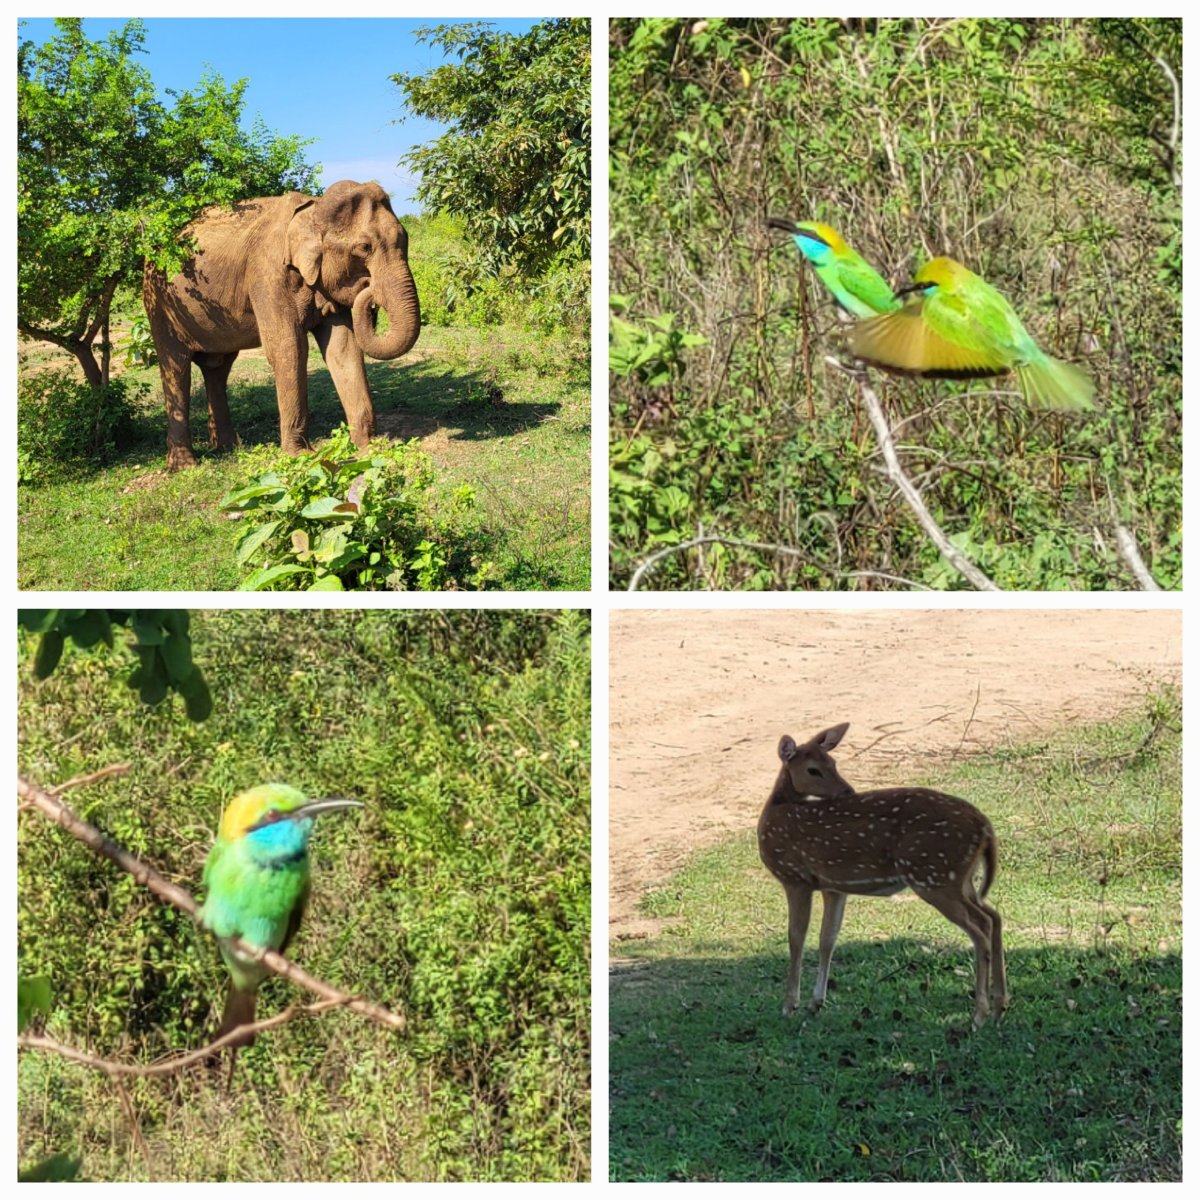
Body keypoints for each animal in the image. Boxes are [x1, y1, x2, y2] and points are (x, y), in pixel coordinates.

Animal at [144, 177, 420, 468]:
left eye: (405, 238)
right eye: (364, 247)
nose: (370, 291)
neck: (313, 209)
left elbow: (344, 348)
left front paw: (369, 449)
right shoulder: (268, 276)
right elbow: (289, 349)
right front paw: (301, 457)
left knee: (217, 369)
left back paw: (229, 448)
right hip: (160, 303)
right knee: (176, 366)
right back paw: (186, 465)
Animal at [763, 720, 1008, 1032]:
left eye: (832, 762)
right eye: (814, 769)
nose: (848, 791)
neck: (774, 816)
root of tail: (985, 827)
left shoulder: (796, 877)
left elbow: (796, 938)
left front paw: (789, 1005)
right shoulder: (834, 886)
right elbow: (828, 939)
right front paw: (815, 1003)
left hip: (933, 874)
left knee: (981, 927)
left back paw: (979, 1015)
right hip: (960, 878)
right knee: (994, 916)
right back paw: (1001, 1007)